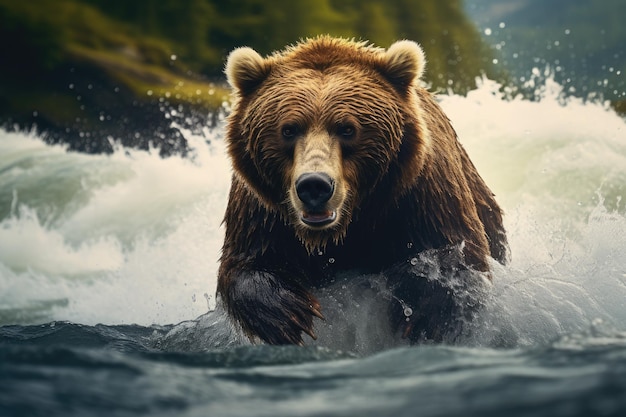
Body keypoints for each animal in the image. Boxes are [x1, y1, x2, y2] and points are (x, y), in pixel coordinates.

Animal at [217, 36, 504, 344]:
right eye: (289, 129)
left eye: (347, 129)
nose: (314, 185)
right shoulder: (261, 206)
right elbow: (248, 262)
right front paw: (291, 312)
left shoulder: (422, 190)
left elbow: (455, 257)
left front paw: (415, 308)